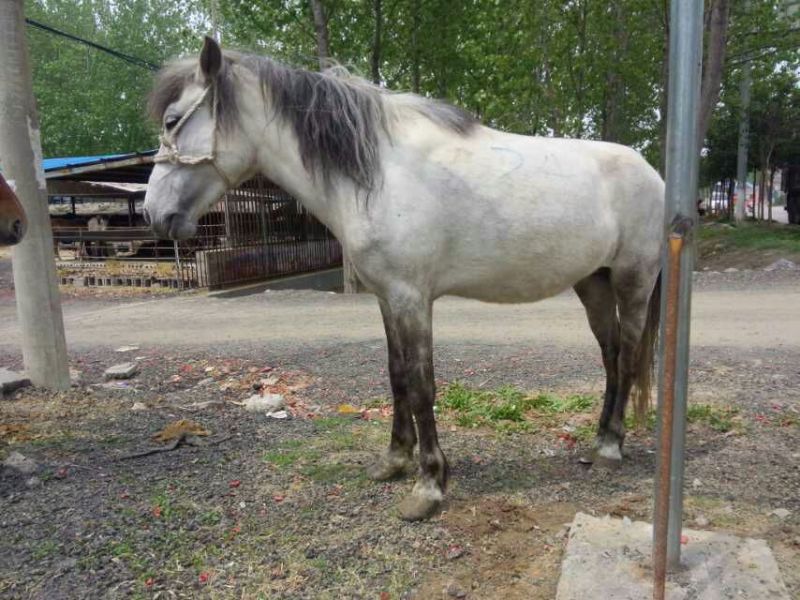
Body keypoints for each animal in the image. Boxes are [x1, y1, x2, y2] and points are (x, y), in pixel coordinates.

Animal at [143, 37, 664, 521]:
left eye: (172, 121)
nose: (154, 214)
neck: (379, 173)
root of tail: (654, 174)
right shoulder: (387, 298)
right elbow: (396, 375)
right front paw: (394, 460)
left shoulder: (412, 298)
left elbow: (420, 383)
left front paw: (429, 485)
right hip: (593, 282)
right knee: (611, 355)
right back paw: (600, 440)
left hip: (632, 282)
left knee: (628, 356)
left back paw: (612, 447)